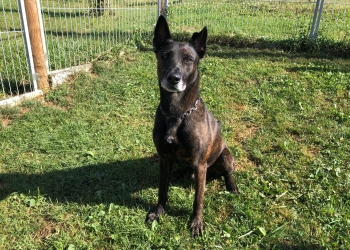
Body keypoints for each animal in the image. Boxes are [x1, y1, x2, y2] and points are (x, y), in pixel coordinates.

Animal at [145, 15, 238, 236]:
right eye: (165, 56)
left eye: (188, 60)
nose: (173, 78)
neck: (176, 113)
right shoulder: (164, 159)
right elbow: (162, 189)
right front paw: (158, 211)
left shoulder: (200, 165)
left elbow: (198, 199)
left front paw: (196, 222)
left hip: (224, 159)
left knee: (229, 173)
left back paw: (231, 185)